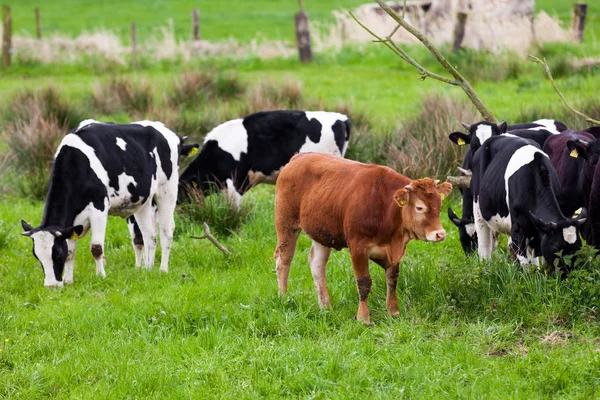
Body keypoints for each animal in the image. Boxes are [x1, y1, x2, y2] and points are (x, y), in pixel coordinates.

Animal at [21, 120, 192, 286]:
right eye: (37, 256)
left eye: (56, 254)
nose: (51, 285)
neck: (77, 163)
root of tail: (168, 130)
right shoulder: (72, 220)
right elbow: (71, 251)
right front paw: (68, 280)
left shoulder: (99, 208)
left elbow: (96, 247)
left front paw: (101, 276)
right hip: (143, 200)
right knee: (149, 236)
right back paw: (148, 270)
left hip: (167, 190)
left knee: (166, 232)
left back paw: (162, 270)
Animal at [274, 153, 452, 324]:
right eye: (419, 207)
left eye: (439, 205)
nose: (440, 234)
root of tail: (298, 157)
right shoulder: (358, 248)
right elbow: (364, 282)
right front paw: (363, 318)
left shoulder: (391, 251)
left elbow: (392, 278)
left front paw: (393, 311)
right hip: (286, 223)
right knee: (283, 259)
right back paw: (283, 297)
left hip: (321, 232)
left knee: (317, 264)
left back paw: (326, 306)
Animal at [468, 135, 584, 272]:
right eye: (556, 248)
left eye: (578, 248)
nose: (567, 274)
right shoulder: (519, 228)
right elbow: (524, 264)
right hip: (478, 210)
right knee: (484, 246)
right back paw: (486, 268)